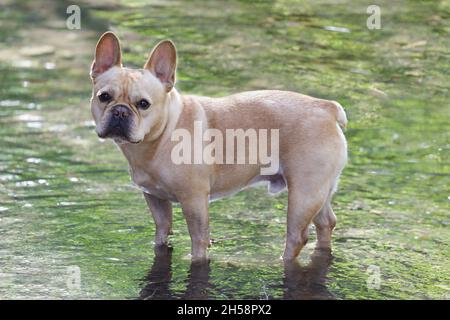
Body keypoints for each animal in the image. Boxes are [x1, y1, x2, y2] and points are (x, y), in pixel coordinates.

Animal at [89, 31, 348, 260]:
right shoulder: (155, 199)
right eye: (104, 97)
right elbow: (162, 233)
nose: (120, 111)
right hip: (319, 192)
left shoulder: (194, 200)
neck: (161, 136)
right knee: (326, 222)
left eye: (143, 104)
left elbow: (199, 240)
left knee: (297, 236)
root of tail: (327, 107)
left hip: (303, 193)